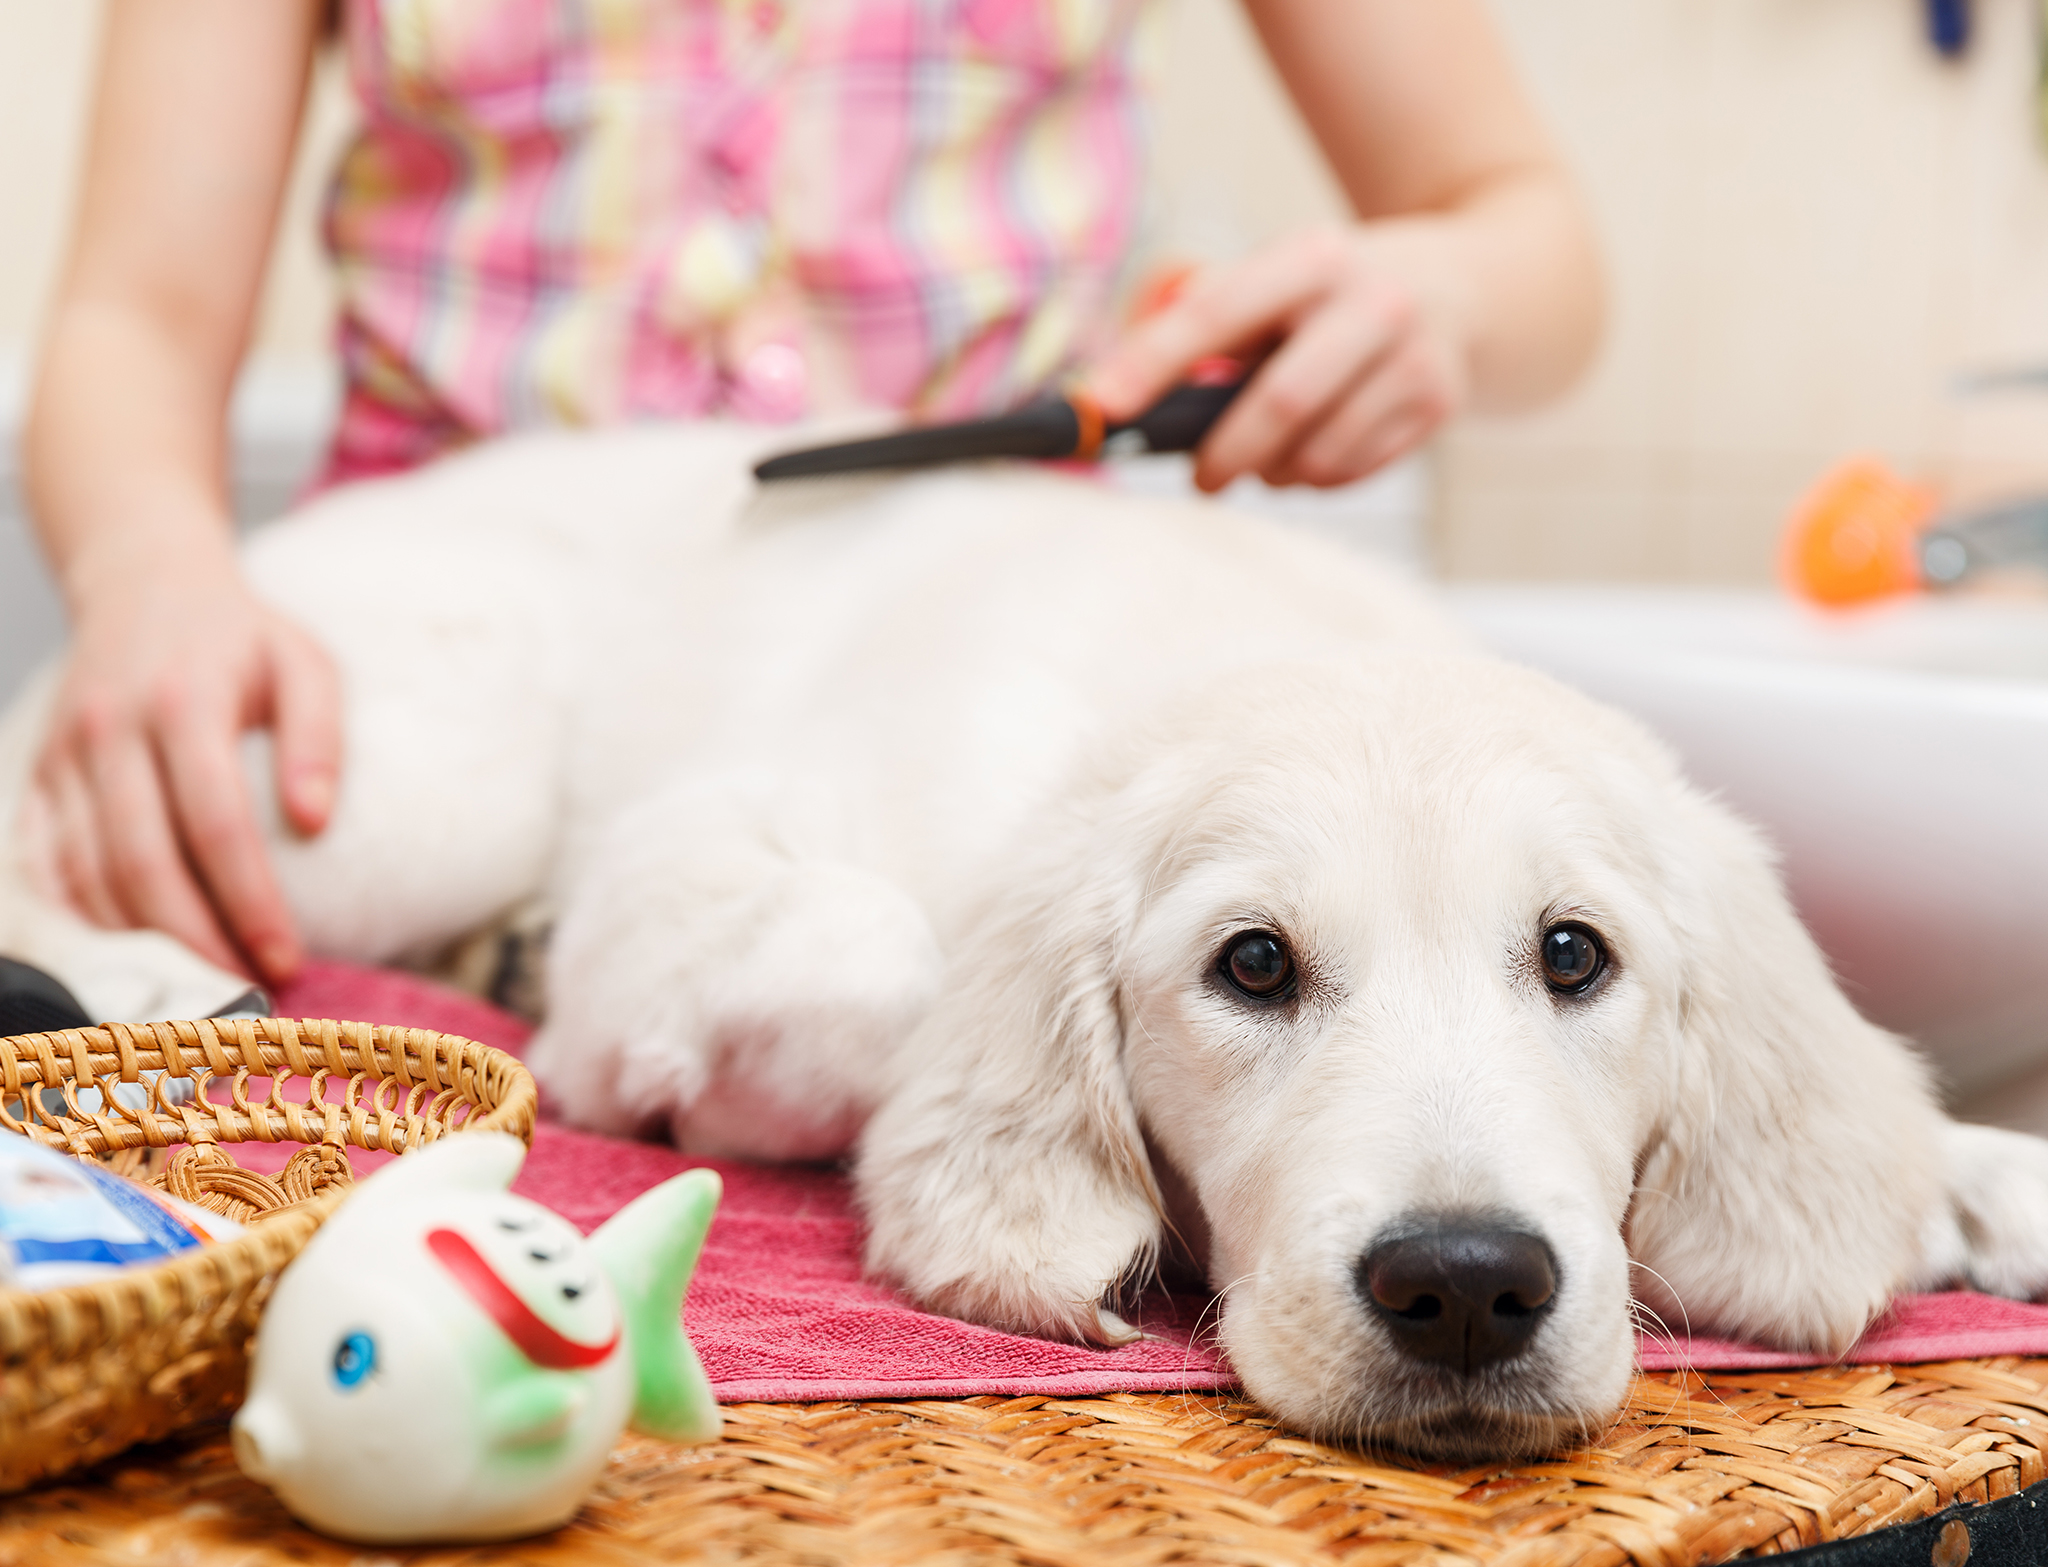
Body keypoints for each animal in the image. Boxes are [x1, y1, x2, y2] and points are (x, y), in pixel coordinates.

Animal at [4, 424, 2048, 1458]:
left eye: (1573, 957)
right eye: (1249, 965)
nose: (1465, 1285)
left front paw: (1976, 1174)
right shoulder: (695, 865)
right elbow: (883, 965)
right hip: (406, 778)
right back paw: (153, 978)